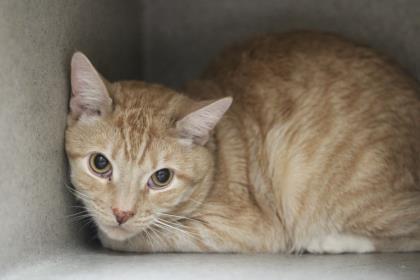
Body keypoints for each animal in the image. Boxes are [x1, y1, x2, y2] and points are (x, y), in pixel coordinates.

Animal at [65, 31, 420, 254]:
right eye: (100, 164)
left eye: (161, 177)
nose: (121, 214)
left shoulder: (249, 230)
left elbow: (145, 236)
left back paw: (330, 241)